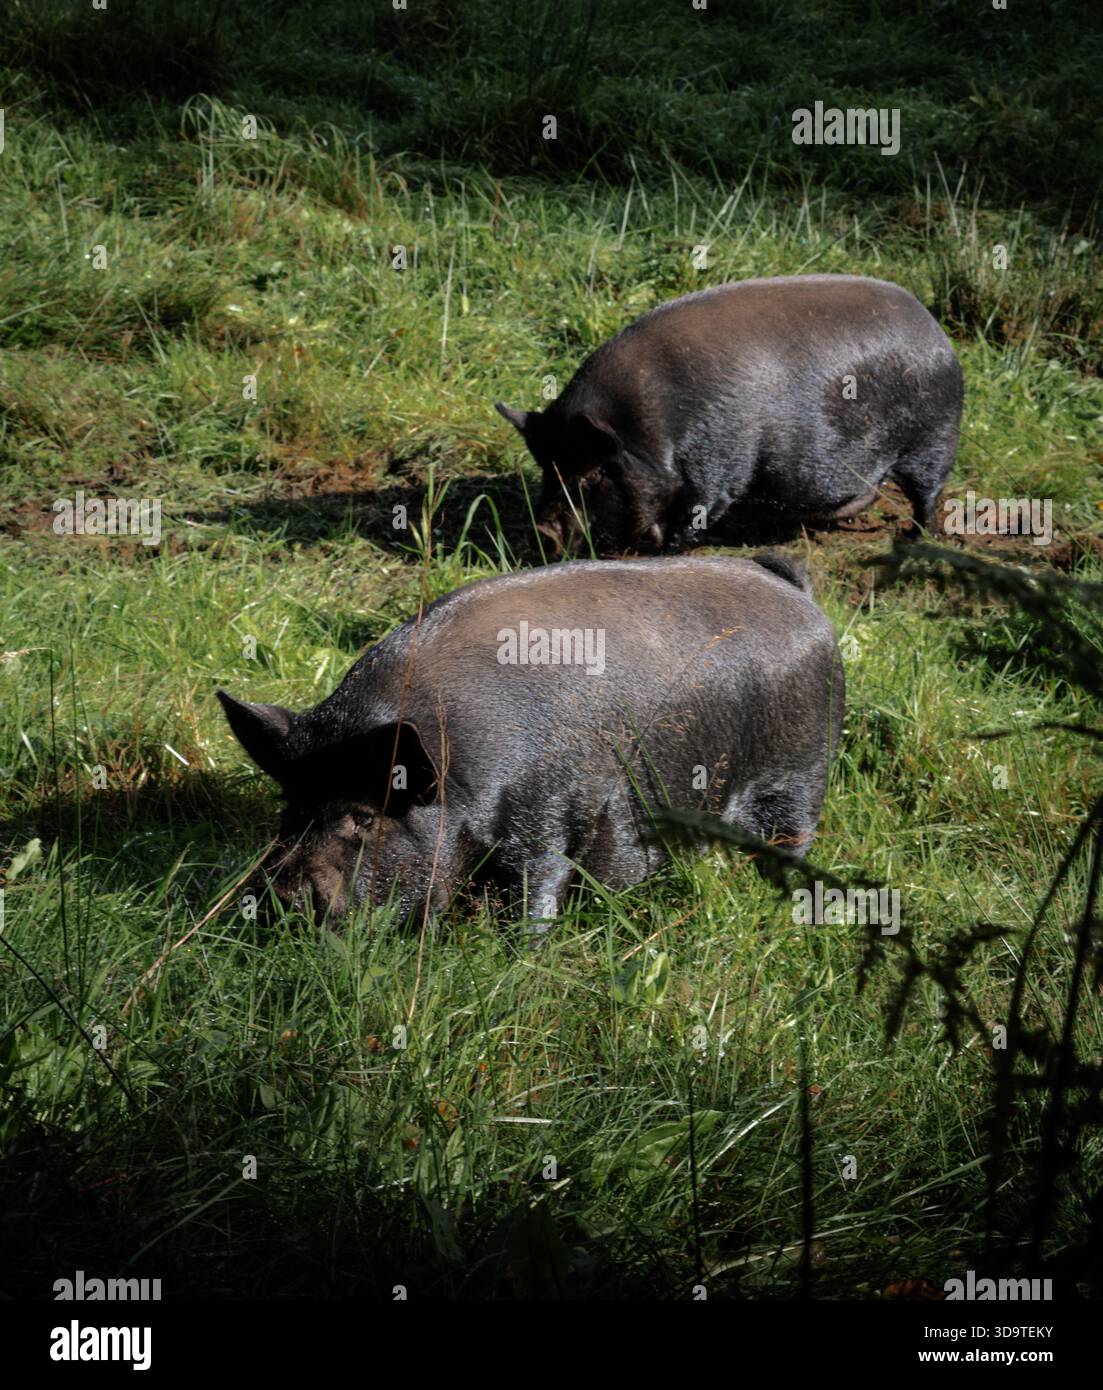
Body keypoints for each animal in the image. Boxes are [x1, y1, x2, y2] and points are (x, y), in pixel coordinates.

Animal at [218, 552, 844, 933]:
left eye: (365, 818)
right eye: (290, 812)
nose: (281, 895)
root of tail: (799, 596)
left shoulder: (552, 815)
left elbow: (536, 894)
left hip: (802, 775)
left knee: (793, 838)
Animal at [496, 274, 963, 555]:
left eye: (593, 475)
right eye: (547, 469)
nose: (543, 531)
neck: (653, 431)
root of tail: (934, 329)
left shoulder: (716, 471)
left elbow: (690, 520)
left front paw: (664, 553)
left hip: (933, 440)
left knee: (928, 494)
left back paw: (913, 539)